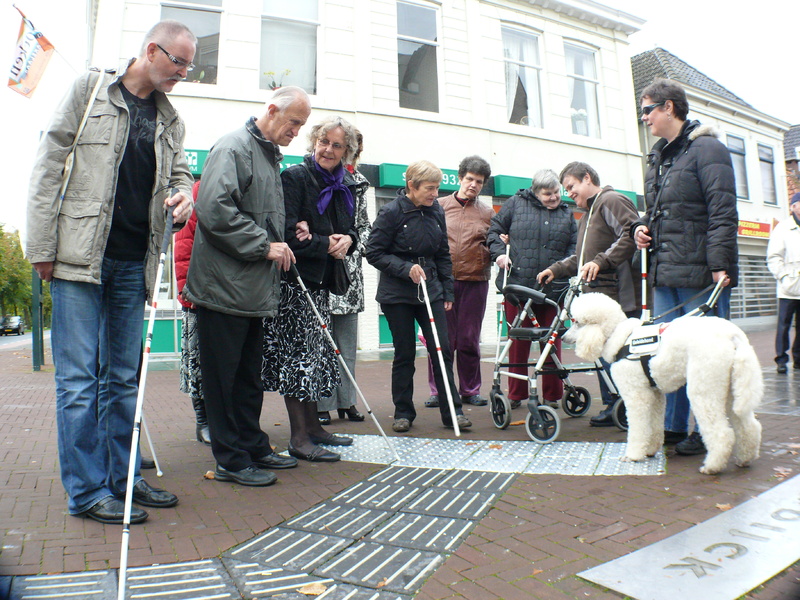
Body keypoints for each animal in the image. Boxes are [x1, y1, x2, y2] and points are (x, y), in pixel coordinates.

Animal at [564, 292, 764, 476]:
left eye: (576, 322)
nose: (564, 337)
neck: (619, 336)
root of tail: (733, 335)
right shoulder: (654, 394)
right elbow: (652, 425)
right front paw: (649, 450)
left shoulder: (636, 396)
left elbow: (638, 428)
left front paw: (633, 455)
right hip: (730, 387)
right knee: (748, 425)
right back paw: (745, 459)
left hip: (704, 387)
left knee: (722, 433)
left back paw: (712, 466)